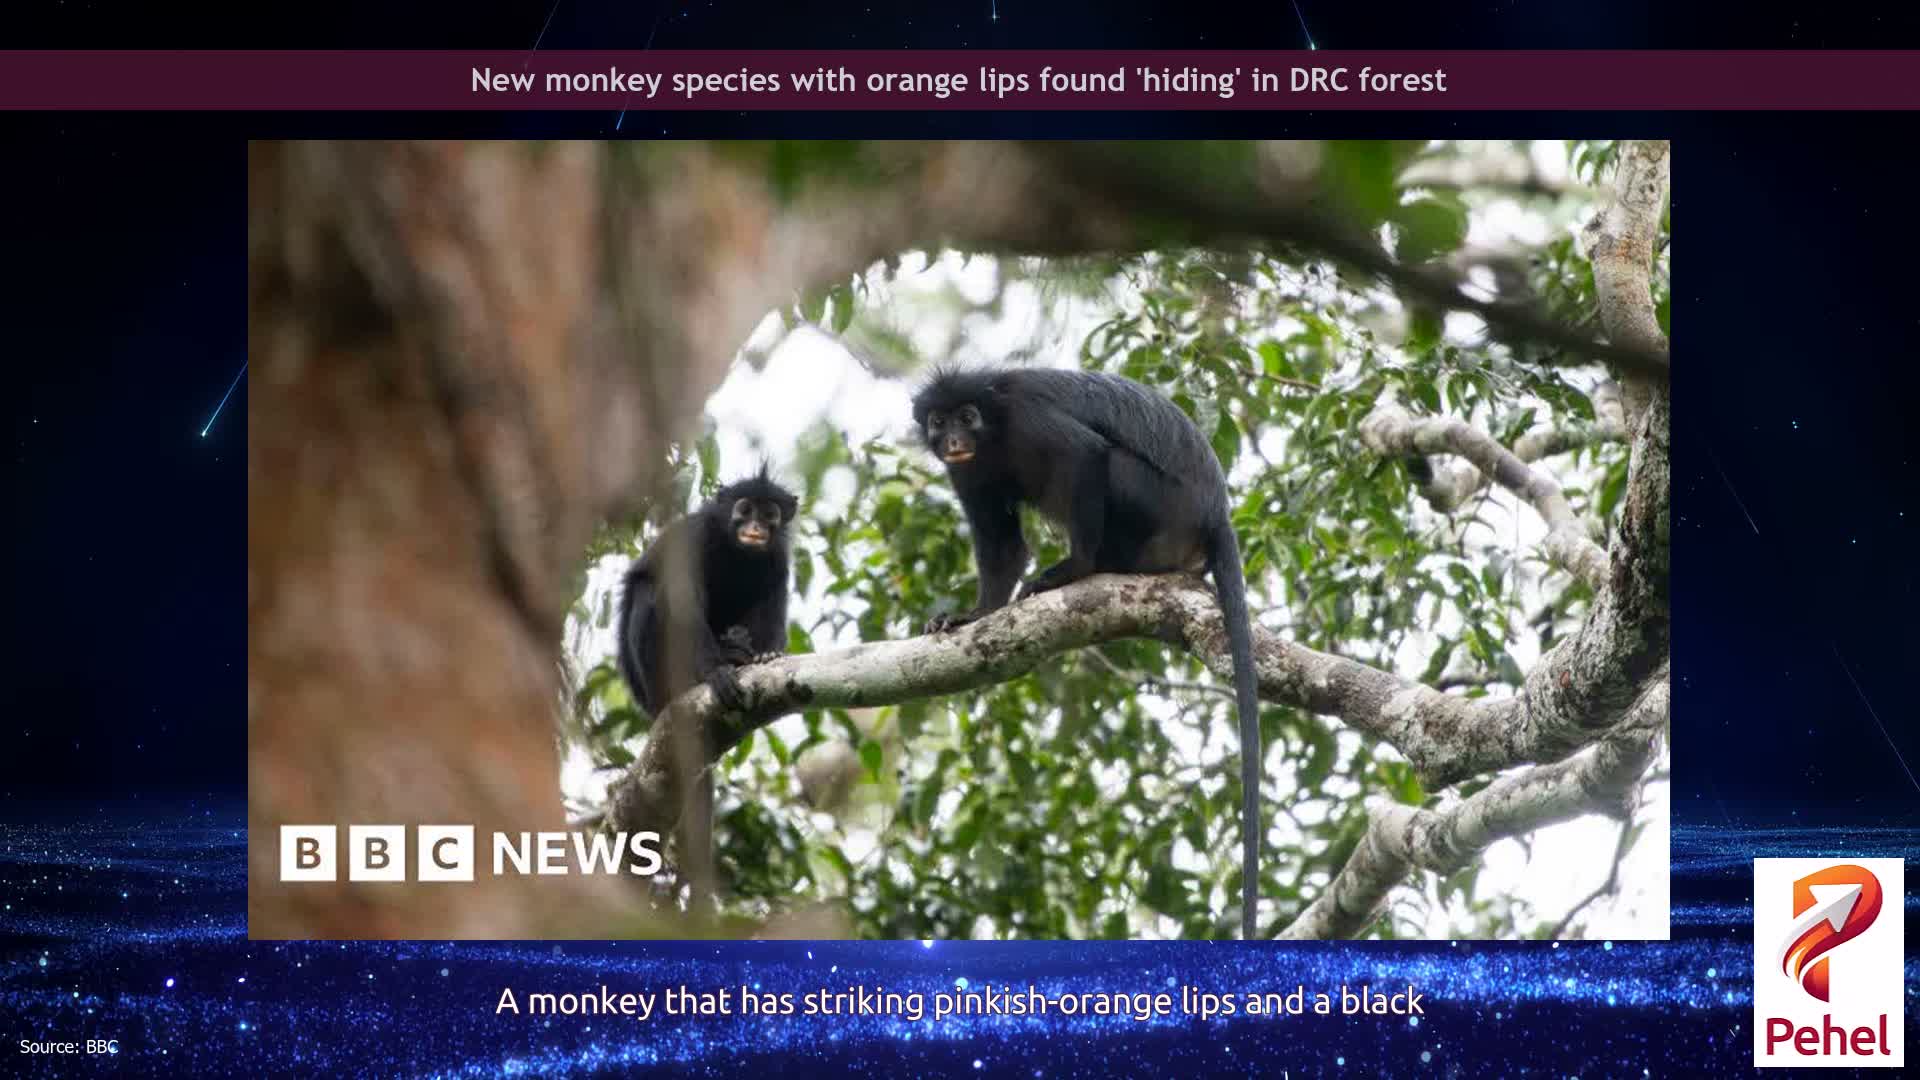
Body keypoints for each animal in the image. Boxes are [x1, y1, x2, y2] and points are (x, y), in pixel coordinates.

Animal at [911, 366, 1266, 939]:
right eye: (939, 422)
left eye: (968, 416)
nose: (955, 440)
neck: (995, 432)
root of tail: (1216, 514)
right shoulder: (968, 474)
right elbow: (1002, 547)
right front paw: (971, 616)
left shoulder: (1029, 418)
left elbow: (1085, 454)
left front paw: (1074, 568)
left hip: (1160, 507)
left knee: (1111, 463)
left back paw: (1097, 565)